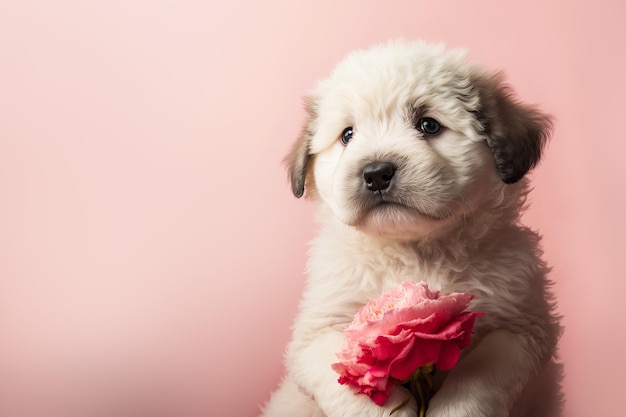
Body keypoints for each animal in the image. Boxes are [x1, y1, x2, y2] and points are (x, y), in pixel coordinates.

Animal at [260, 39, 564, 416]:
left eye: (429, 125)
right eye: (347, 135)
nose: (376, 173)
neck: (413, 252)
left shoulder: (520, 327)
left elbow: (479, 375)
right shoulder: (319, 330)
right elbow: (356, 390)